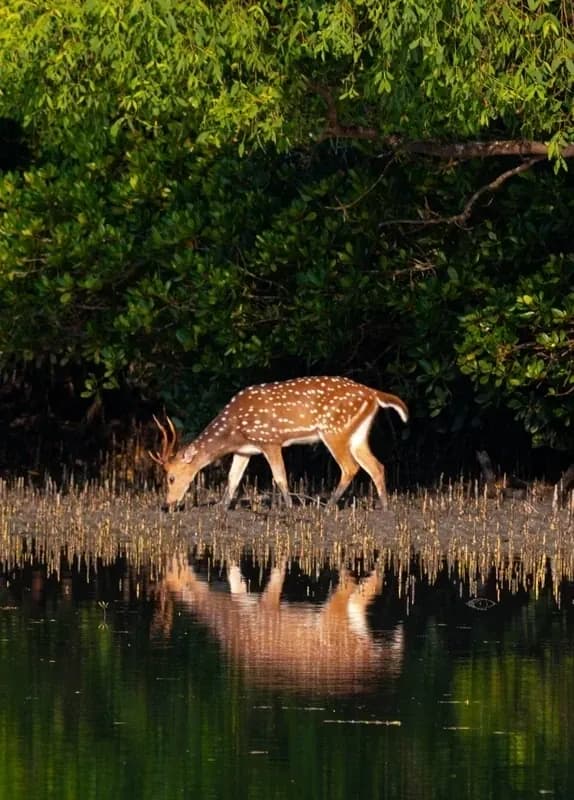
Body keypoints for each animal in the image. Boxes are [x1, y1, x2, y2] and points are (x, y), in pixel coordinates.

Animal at [150, 376, 408, 510]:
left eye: (171, 477)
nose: (167, 504)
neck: (234, 430)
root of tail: (373, 394)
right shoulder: (245, 450)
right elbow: (233, 479)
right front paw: (221, 508)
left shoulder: (270, 440)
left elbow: (280, 477)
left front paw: (290, 508)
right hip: (357, 435)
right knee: (376, 466)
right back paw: (385, 508)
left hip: (334, 429)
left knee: (350, 467)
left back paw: (326, 508)